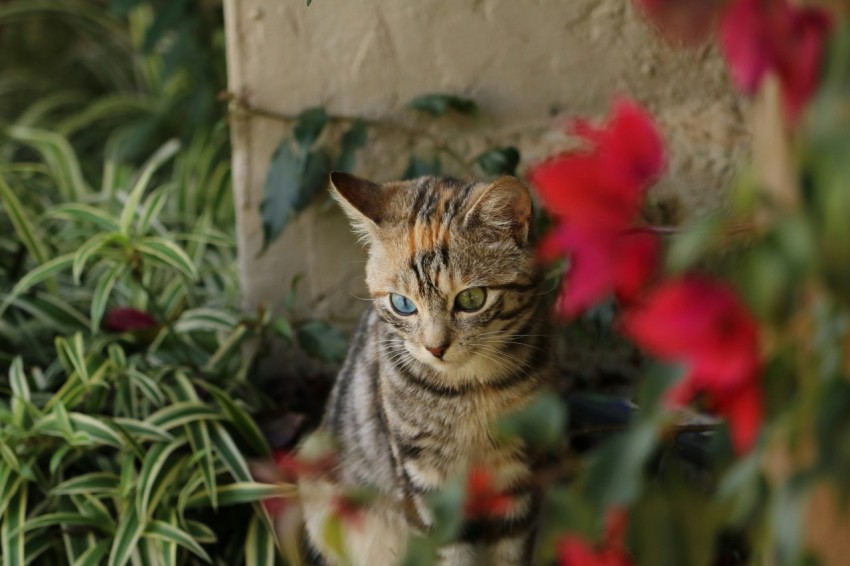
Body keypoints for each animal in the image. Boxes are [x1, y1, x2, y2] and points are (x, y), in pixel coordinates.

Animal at [294, 171, 552, 564]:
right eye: (402, 304)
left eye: (471, 299)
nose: (435, 347)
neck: (470, 389)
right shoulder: (423, 476)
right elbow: (449, 552)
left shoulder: (518, 472)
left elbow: (511, 551)